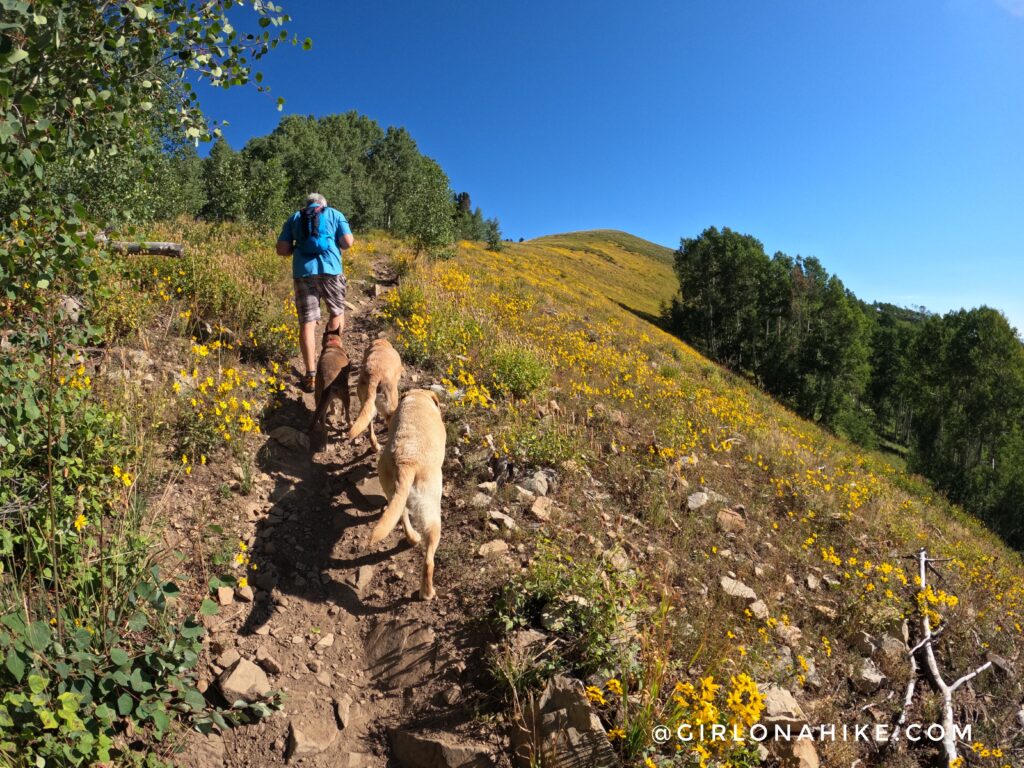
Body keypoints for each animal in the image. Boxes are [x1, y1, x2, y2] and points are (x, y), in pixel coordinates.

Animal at [370, 391, 446, 602]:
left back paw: (412, 538)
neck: (417, 397)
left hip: (393, 492)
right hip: (432, 513)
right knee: (429, 560)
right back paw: (427, 593)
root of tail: (407, 462)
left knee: (401, 516)